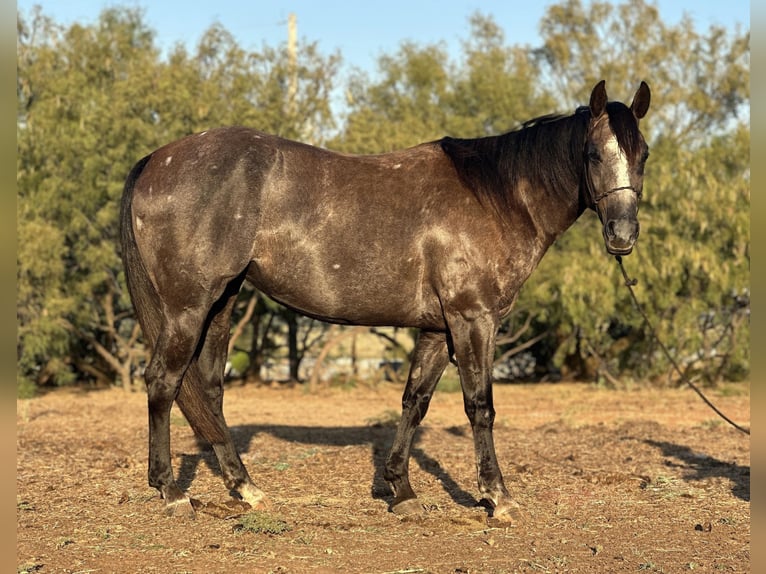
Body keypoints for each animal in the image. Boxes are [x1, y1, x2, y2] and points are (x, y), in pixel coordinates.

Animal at [123, 80, 652, 520]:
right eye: (593, 153)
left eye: (643, 153)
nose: (623, 235)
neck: (495, 198)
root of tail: (156, 159)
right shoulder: (473, 320)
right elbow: (479, 406)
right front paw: (497, 496)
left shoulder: (439, 328)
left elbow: (414, 402)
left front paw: (401, 490)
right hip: (189, 306)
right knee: (163, 382)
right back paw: (171, 491)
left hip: (222, 304)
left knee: (209, 390)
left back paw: (245, 487)